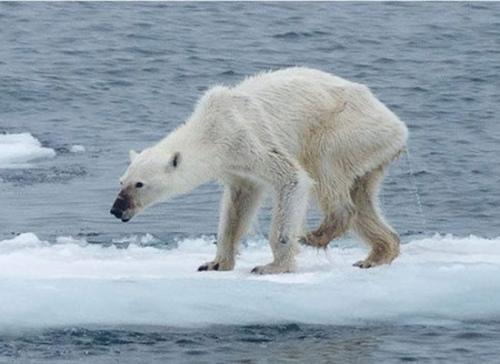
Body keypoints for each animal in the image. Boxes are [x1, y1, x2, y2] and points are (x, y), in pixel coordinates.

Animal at [111, 67, 408, 272]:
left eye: (139, 184)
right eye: (121, 181)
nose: (116, 209)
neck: (211, 128)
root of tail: (398, 126)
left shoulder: (247, 138)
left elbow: (292, 178)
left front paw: (272, 266)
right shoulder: (235, 166)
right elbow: (238, 205)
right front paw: (215, 263)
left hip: (348, 129)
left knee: (324, 166)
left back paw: (317, 234)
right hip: (371, 151)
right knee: (362, 197)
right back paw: (377, 254)